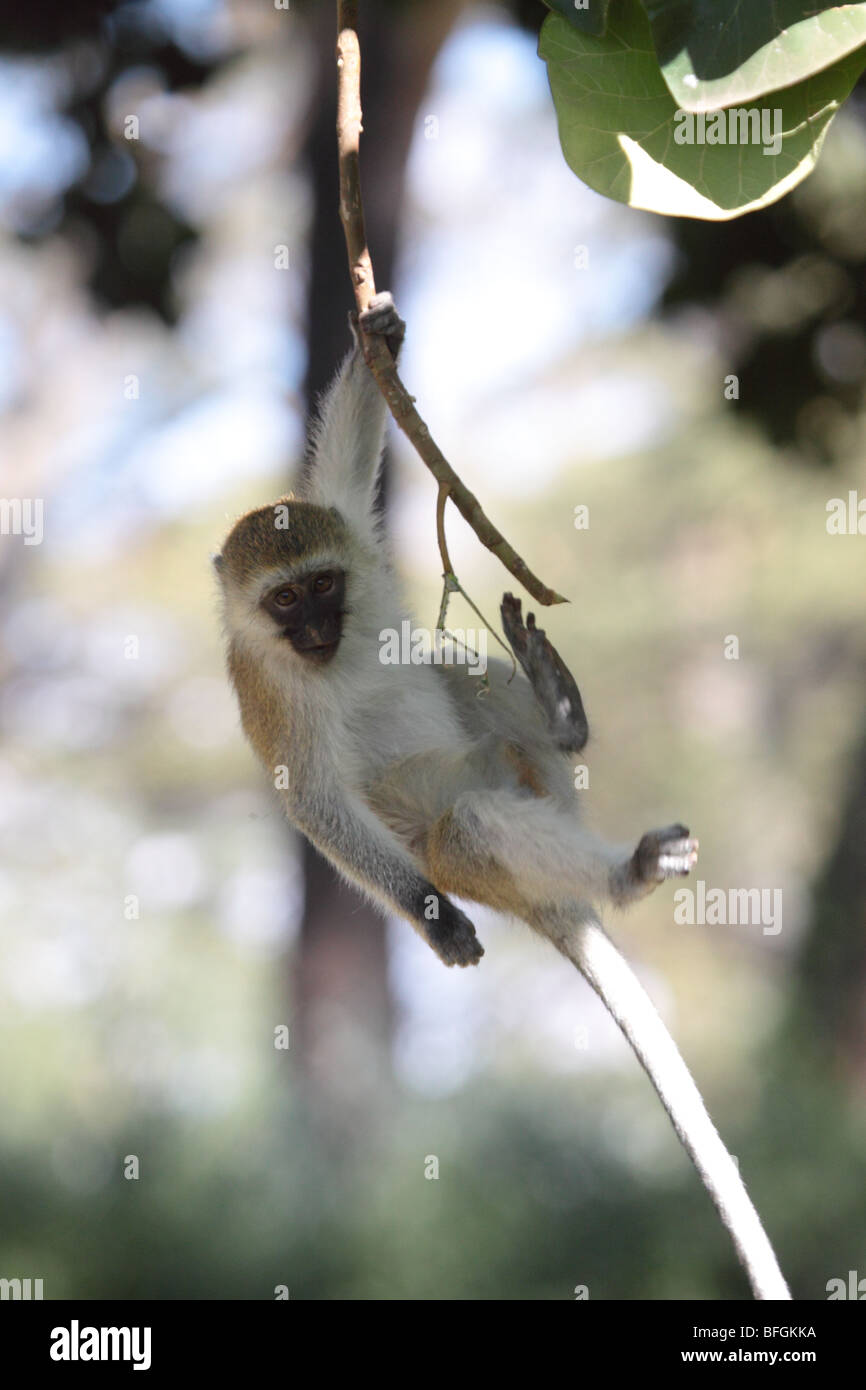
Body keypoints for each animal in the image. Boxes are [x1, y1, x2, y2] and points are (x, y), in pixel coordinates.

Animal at [214, 292, 790, 1301]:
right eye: (285, 603)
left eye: (323, 583)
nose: (319, 626)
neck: (318, 651)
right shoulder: (268, 692)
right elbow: (315, 805)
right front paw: (430, 916)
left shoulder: (353, 536)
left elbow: (345, 472)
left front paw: (378, 334)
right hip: (481, 852)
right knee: (473, 823)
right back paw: (626, 873)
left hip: (528, 776)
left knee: (459, 677)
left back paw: (559, 714)